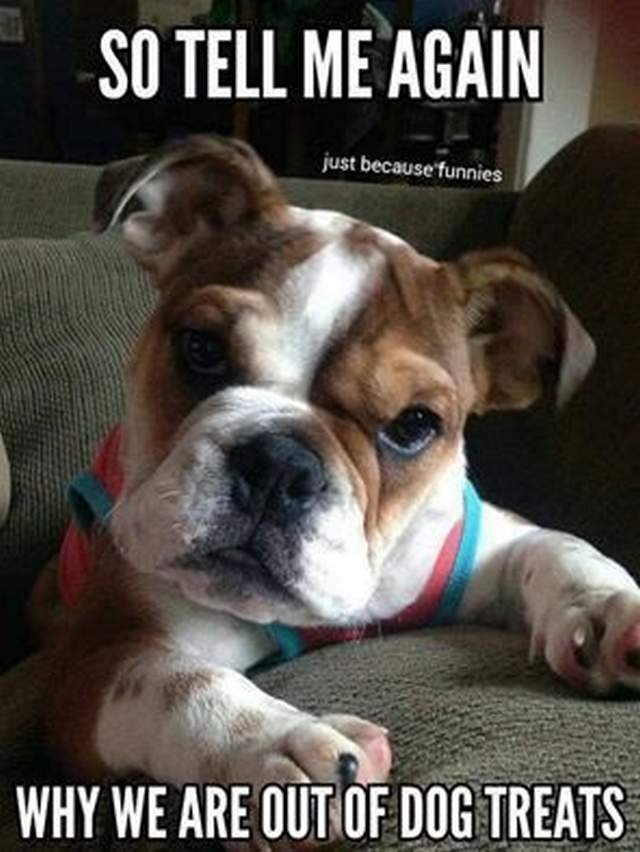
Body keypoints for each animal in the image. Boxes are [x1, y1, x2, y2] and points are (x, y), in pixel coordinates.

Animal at [38, 138, 640, 844]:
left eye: (414, 424)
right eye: (200, 348)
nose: (278, 464)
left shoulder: (475, 544)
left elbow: (557, 547)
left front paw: (607, 610)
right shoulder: (94, 661)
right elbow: (179, 684)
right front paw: (278, 743)